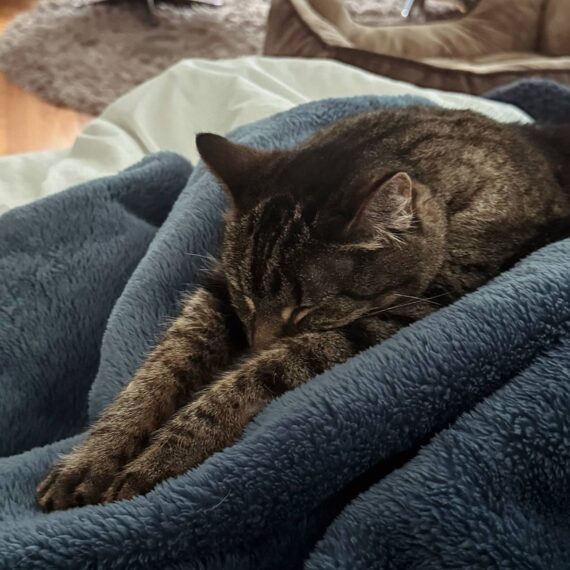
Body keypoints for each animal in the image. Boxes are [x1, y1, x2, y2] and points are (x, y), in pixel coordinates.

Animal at [36, 104, 568, 508]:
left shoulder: (401, 316)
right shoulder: (218, 292)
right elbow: (158, 371)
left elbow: (258, 375)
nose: (253, 343)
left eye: (305, 311)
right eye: (247, 300)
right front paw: (93, 456)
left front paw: (165, 455)